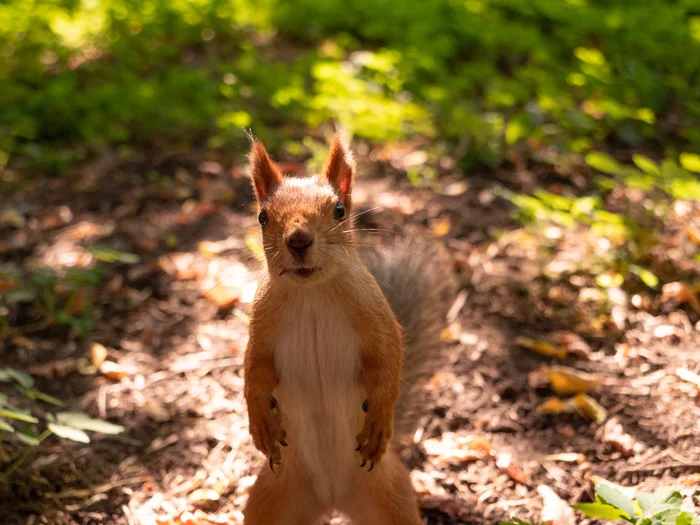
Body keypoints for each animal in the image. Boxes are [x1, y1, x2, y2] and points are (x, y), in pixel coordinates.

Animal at [242, 135, 448, 524]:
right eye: (262, 217)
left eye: (339, 210)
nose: (298, 241)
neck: (313, 294)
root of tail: (332, 498)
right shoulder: (261, 328)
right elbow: (254, 374)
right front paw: (260, 420)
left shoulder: (377, 318)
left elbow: (388, 364)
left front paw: (378, 421)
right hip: (270, 500)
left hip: (393, 497)